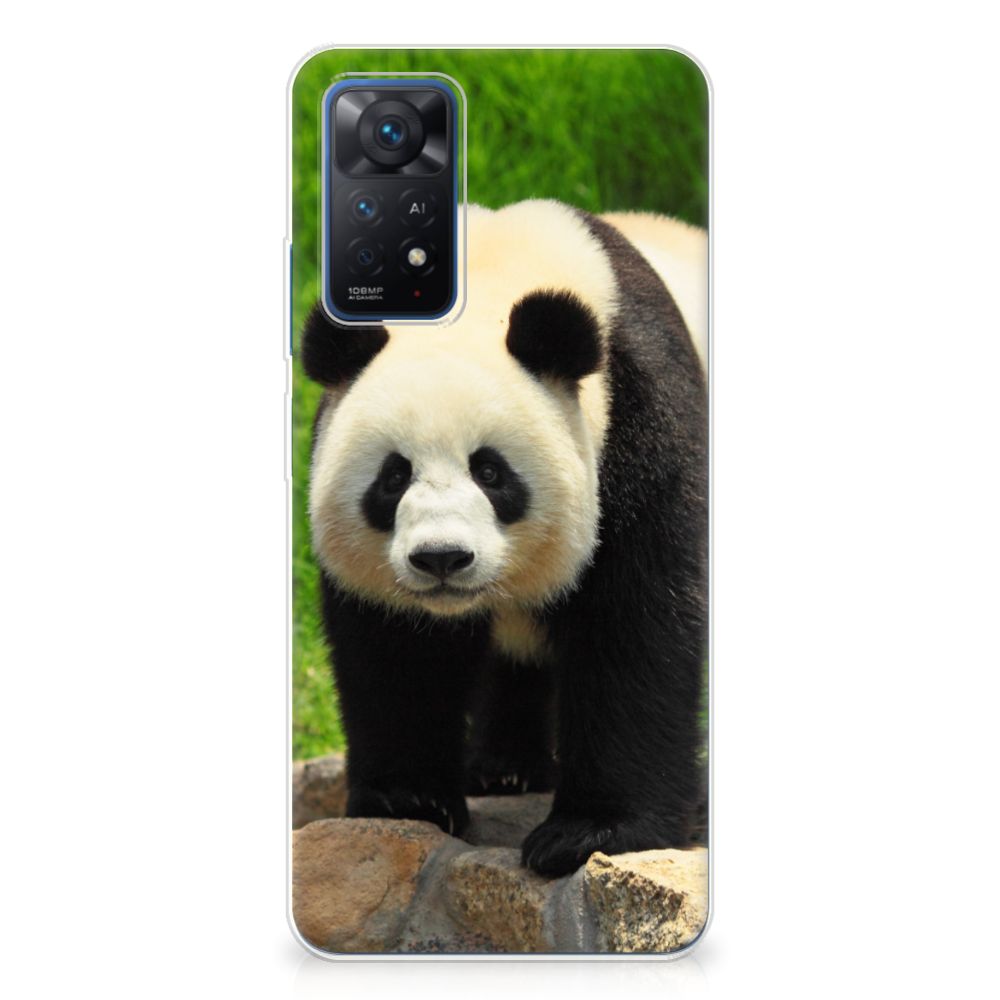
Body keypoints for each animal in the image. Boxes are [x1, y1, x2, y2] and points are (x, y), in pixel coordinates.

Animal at [301, 199, 707, 877]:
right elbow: (395, 650)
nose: (442, 558)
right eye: (393, 476)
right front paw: (408, 800)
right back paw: (504, 769)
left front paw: (589, 833)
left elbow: (637, 625)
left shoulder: (642, 422)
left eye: (490, 472)